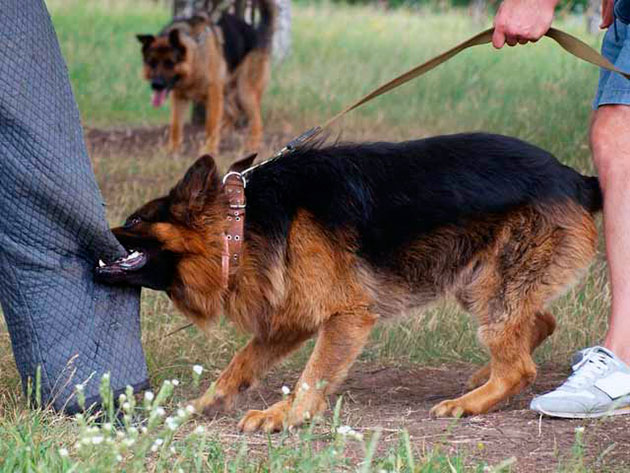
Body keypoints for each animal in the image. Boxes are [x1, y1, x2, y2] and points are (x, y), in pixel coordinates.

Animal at [96, 134, 604, 432]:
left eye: (135, 221)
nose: (93, 237)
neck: (242, 223)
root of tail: (575, 178)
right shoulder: (290, 319)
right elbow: (240, 363)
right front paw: (208, 402)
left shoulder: (345, 317)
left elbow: (312, 376)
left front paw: (289, 416)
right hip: (476, 281)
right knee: (541, 323)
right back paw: (484, 377)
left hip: (491, 289)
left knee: (520, 365)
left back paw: (472, 402)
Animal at [137, 0, 276, 154]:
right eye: (152, 63)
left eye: (170, 63)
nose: (156, 85)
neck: (195, 56)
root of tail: (257, 32)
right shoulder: (179, 97)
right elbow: (176, 125)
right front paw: (172, 149)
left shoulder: (213, 92)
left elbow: (210, 124)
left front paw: (209, 149)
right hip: (225, 93)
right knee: (233, 113)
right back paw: (225, 133)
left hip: (244, 92)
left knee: (256, 121)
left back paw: (252, 145)